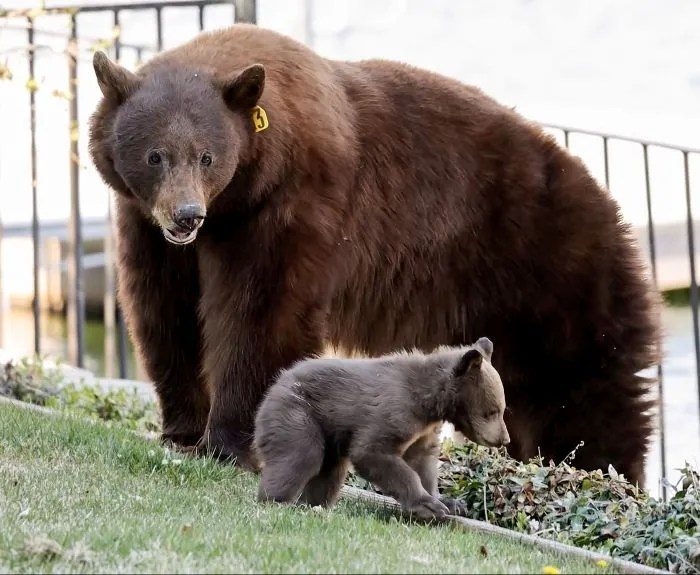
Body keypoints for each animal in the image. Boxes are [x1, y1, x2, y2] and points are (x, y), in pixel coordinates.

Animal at [88, 24, 660, 483]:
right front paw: (182, 430)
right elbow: (165, 309)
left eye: (207, 156)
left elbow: (261, 316)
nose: (186, 215)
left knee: (586, 394)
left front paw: (230, 441)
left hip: (555, 276)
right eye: (155, 155)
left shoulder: (293, 205)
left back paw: (605, 474)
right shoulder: (147, 225)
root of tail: (615, 210)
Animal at [254, 337, 509, 519]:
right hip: (298, 413)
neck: (428, 401)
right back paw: (277, 502)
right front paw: (428, 505)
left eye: (502, 409)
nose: (504, 440)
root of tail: (274, 385)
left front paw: (450, 502)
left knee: (330, 473)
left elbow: (422, 462)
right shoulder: (394, 412)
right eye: (492, 411)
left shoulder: (423, 431)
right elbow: (373, 453)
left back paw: (313, 506)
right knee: (300, 456)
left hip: (329, 435)